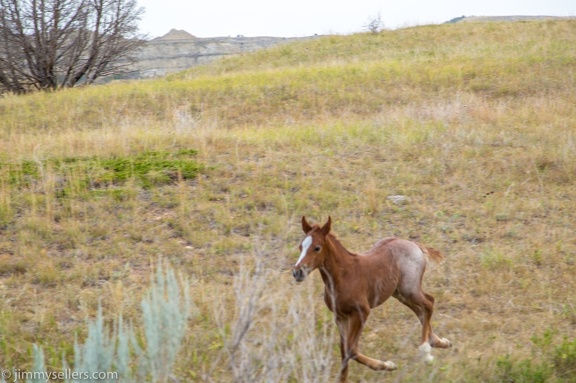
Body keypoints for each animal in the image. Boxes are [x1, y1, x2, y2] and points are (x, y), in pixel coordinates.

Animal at [294, 218, 452, 382]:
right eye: (300, 246)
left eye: (317, 248)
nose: (297, 272)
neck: (343, 276)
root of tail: (414, 244)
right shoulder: (340, 317)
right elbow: (344, 351)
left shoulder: (361, 313)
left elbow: (351, 350)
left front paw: (387, 365)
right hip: (399, 293)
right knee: (420, 310)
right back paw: (438, 342)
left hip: (410, 289)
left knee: (429, 302)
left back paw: (426, 351)